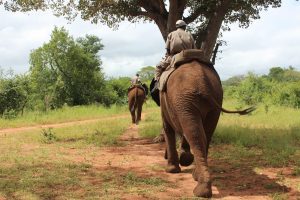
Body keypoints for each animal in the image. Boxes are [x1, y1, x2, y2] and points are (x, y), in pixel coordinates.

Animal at [159, 60, 253, 198]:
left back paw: (200, 190)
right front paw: (185, 160)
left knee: (195, 135)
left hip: (184, 101)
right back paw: (199, 180)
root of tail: (204, 83)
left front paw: (172, 170)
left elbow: (168, 128)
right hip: (213, 99)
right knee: (204, 135)